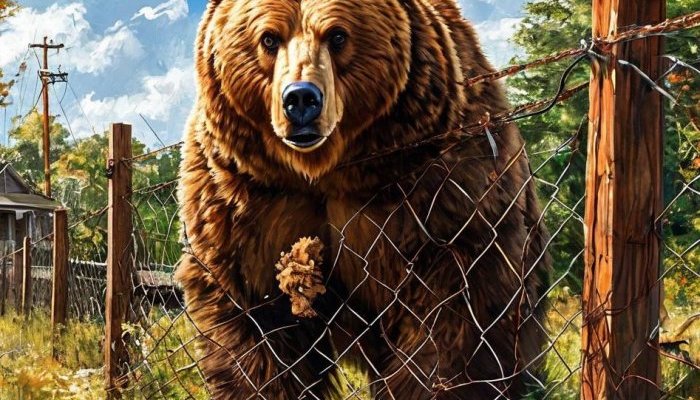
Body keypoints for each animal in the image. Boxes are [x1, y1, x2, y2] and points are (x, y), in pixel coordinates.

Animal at [175, 0, 551, 398]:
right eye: (269, 38)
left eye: (338, 35)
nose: (301, 100)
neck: (324, 170)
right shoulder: (244, 207)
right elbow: (255, 328)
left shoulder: (439, 195)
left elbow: (451, 320)